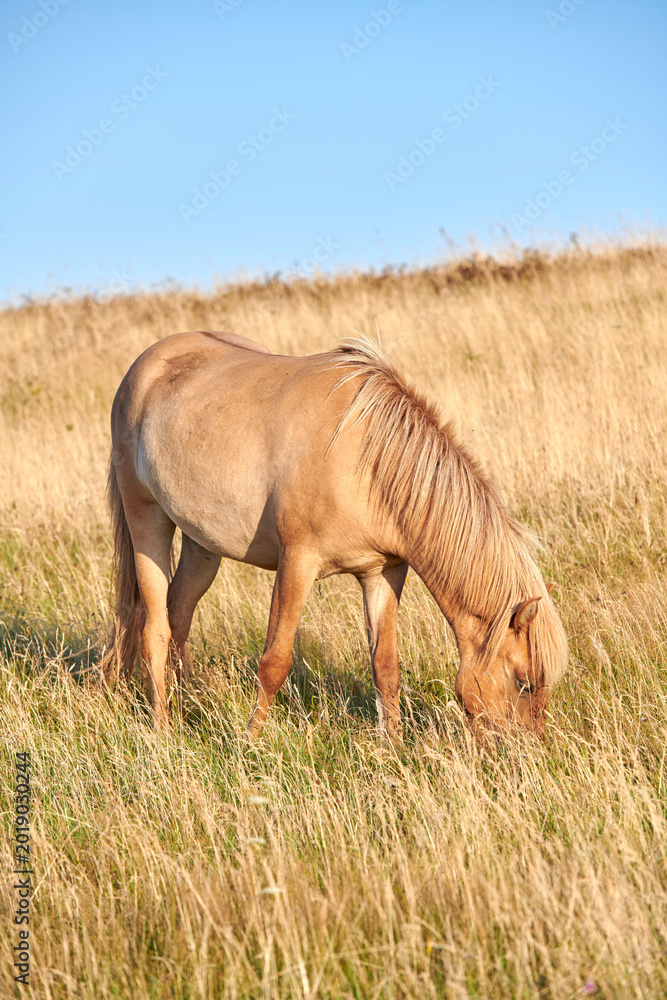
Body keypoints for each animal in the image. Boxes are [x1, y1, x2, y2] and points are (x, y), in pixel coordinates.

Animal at [101, 330, 568, 739]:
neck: (368, 462)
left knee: (179, 613)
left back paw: (187, 706)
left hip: (202, 542)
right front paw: (249, 745)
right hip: (147, 522)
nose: (528, 753)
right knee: (155, 629)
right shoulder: (297, 563)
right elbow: (274, 662)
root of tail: (145, 365)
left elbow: (385, 666)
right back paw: (163, 729)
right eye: (524, 681)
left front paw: (393, 748)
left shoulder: (383, 573)